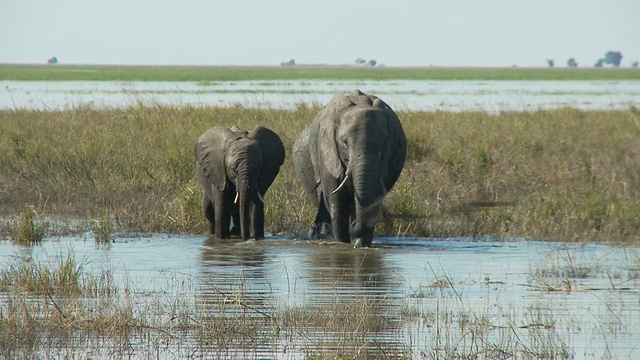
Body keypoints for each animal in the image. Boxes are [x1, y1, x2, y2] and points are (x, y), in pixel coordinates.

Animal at [294, 90, 408, 248]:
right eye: (344, 142)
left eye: (385, 143)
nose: (353, 225)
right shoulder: (327, 154)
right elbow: (337, 203)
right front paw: (343, 243)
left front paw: (360, 245)